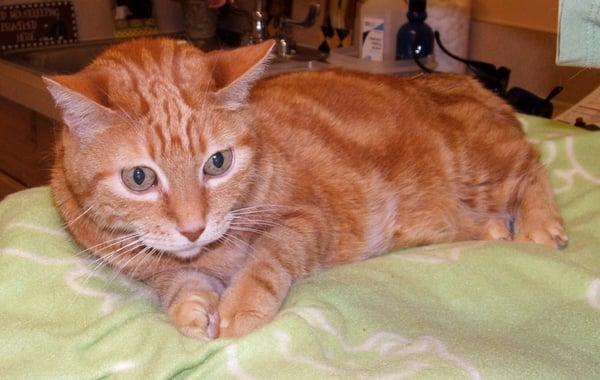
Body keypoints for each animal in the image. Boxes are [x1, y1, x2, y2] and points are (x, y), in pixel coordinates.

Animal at [45, 38, 568, 340]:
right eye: (140, 178)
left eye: (218, 162)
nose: (194, 228)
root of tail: (472, 83)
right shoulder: (152, 268)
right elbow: (178, 281)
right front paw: (194, 307)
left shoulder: (309, 220)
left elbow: (268, 258)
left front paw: (240, 305)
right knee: (487, 218)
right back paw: (493, 230)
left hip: (480, 169)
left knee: (530, 167)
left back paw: (541, 227)